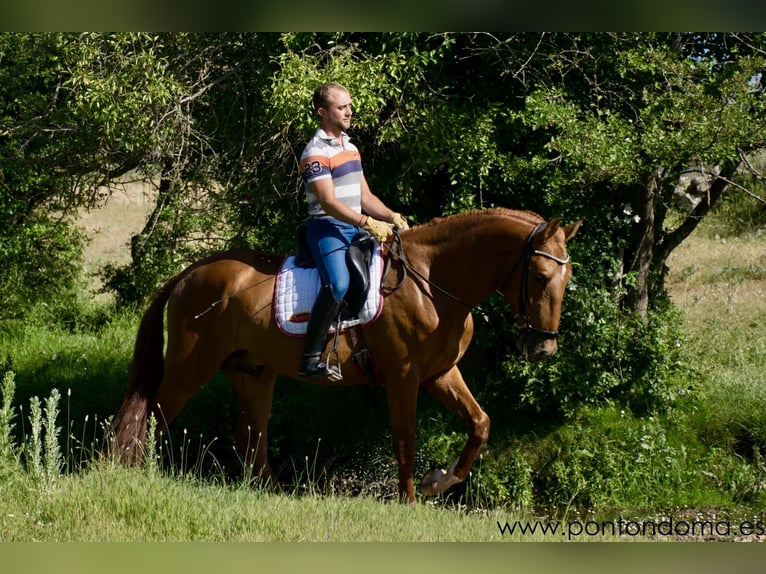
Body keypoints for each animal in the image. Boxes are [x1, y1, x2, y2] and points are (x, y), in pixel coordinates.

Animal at [112, 209, 584, 506]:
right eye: (541, 277)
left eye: (568, 278)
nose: (543, 348)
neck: (433, 285)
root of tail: (189, 272)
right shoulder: (404, 376)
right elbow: (405, 438)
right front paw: (409, 502)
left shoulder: (440, 373)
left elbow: (479, 423)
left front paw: (438, 482)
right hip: (192, 365)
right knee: (152, 416)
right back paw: (136, 474)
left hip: (253, 373)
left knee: (252, 440)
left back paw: (273, 495)